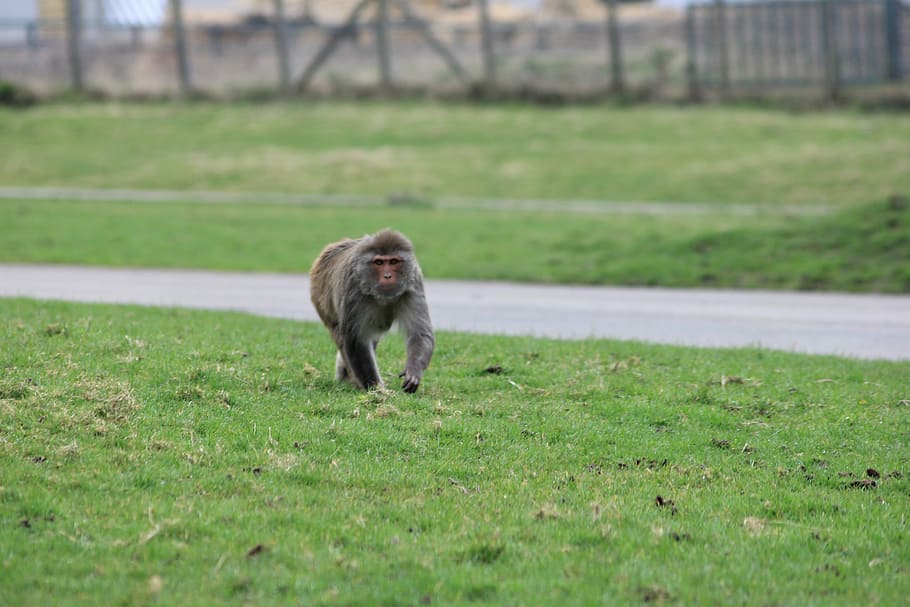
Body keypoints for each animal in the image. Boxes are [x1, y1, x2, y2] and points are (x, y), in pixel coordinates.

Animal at [309, 229, 434, 393]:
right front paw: (377, 389)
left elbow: (420, 333)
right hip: (320, 297)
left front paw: (413, 372)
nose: (387, 276)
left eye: (394, 262)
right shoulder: (353, 288)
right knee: (341, 335)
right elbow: (356, 339)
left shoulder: (413, 284)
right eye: (379, 262)